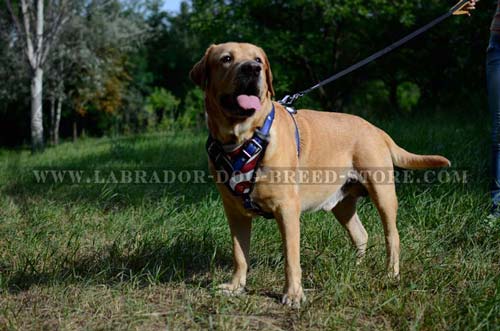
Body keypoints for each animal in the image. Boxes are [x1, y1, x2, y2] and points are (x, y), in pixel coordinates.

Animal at [189, 42, 452, 308]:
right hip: (343, 205)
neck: (242, 139)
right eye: (226, 58)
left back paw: (391, 274)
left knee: (392, 235)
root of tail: (376, 129)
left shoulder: (287, 208)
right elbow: (239, 253)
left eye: (258, 60)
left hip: (383, 194)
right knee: (361, 234)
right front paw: (235, 287)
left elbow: (291, 257)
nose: (252, 69)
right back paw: (356, 267)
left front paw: (293, 294)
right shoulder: (235, 211)